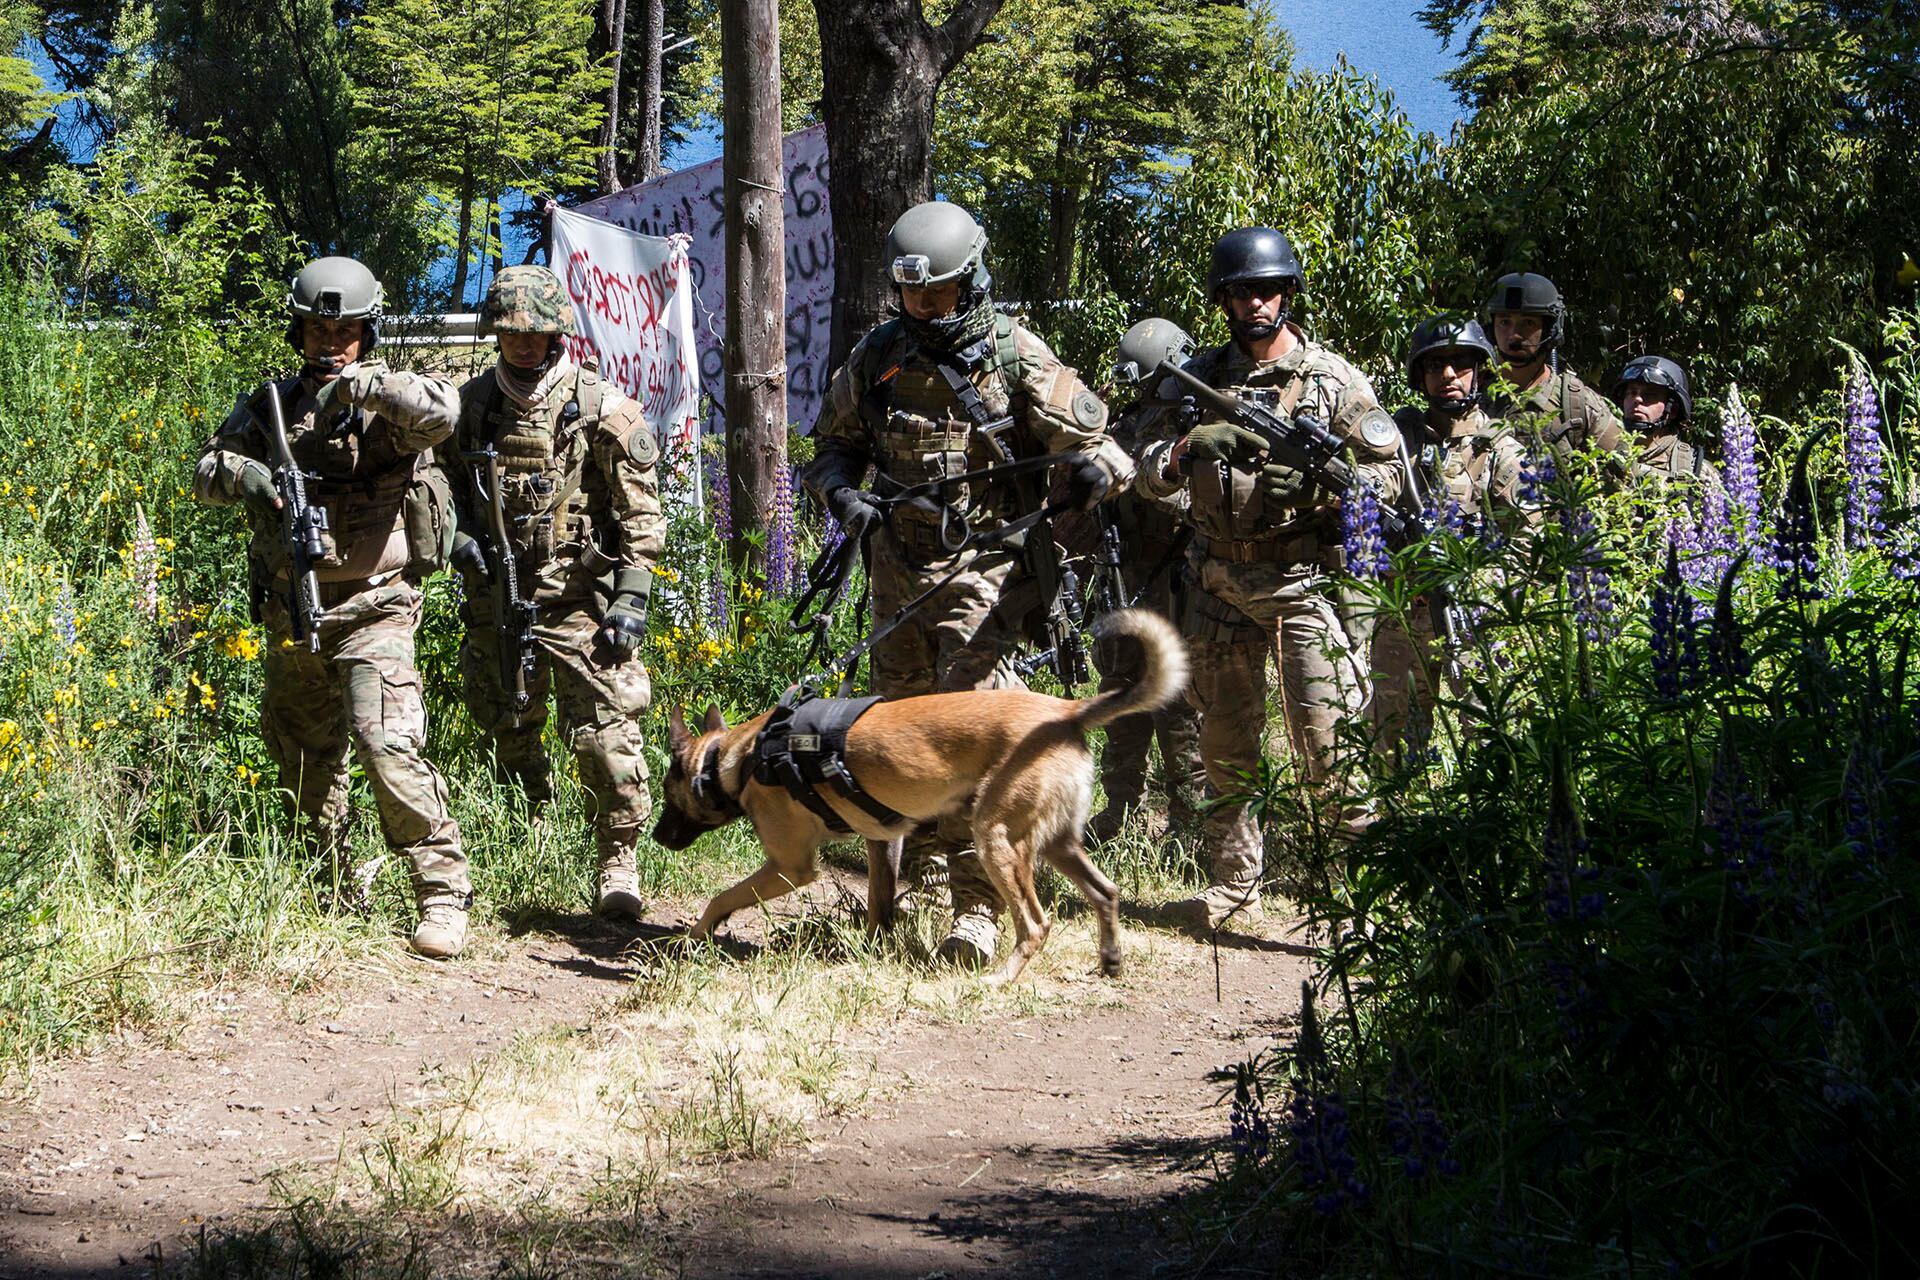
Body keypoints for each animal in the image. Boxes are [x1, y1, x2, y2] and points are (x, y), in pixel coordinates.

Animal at [656, 610, 1182, 982]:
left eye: (666, 792)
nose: (658, 837)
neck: (739, 759)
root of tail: (1066, 713)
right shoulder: (883, 841)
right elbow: (880, 907)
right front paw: (870, 952)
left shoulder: (791, 868)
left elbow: (722, 897)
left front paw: (694, 936)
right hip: (1055, 843)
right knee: (1106, 891)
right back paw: (1110, 959)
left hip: (995, 840)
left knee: (1035, 924)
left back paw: (1000, 981)